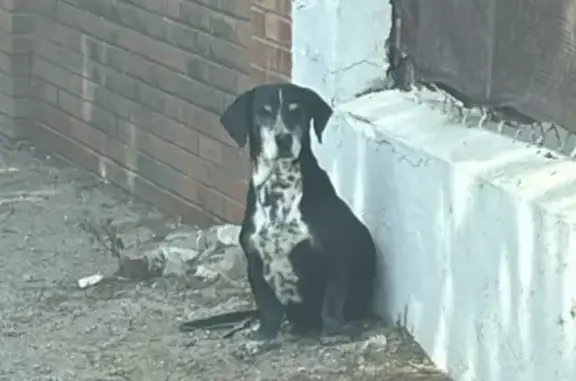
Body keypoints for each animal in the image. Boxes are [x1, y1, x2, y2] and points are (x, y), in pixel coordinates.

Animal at [181, 82, 378, 354]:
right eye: (263, 111)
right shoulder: (255, 262)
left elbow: (332, 301)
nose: (282, 138)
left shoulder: (336, 255)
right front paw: (262, 338)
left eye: (296, 110)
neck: (279, 190)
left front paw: (334, 332)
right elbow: (269, 309)